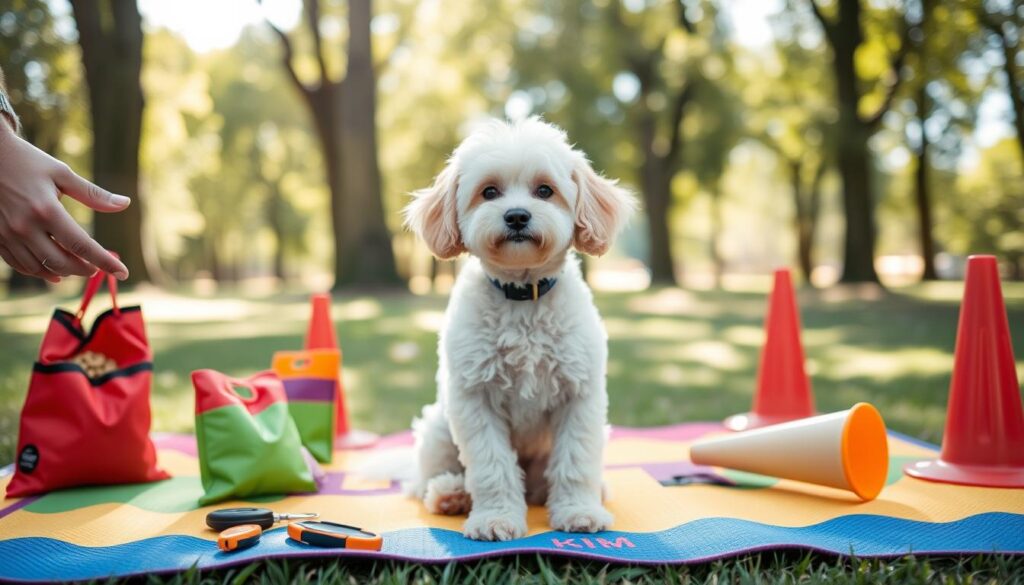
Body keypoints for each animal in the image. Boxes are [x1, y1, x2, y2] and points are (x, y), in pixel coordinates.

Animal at [401, 116, 630, 540]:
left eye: (545, 190)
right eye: (489, 191)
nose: (517, 216)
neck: (524, 297)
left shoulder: (580, 397)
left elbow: (575, 462)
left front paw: (579, 511)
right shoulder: (475, 400)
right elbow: (491, 467)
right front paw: (495, 519)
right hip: (438, 429)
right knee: (423, 482)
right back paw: (450, 493)